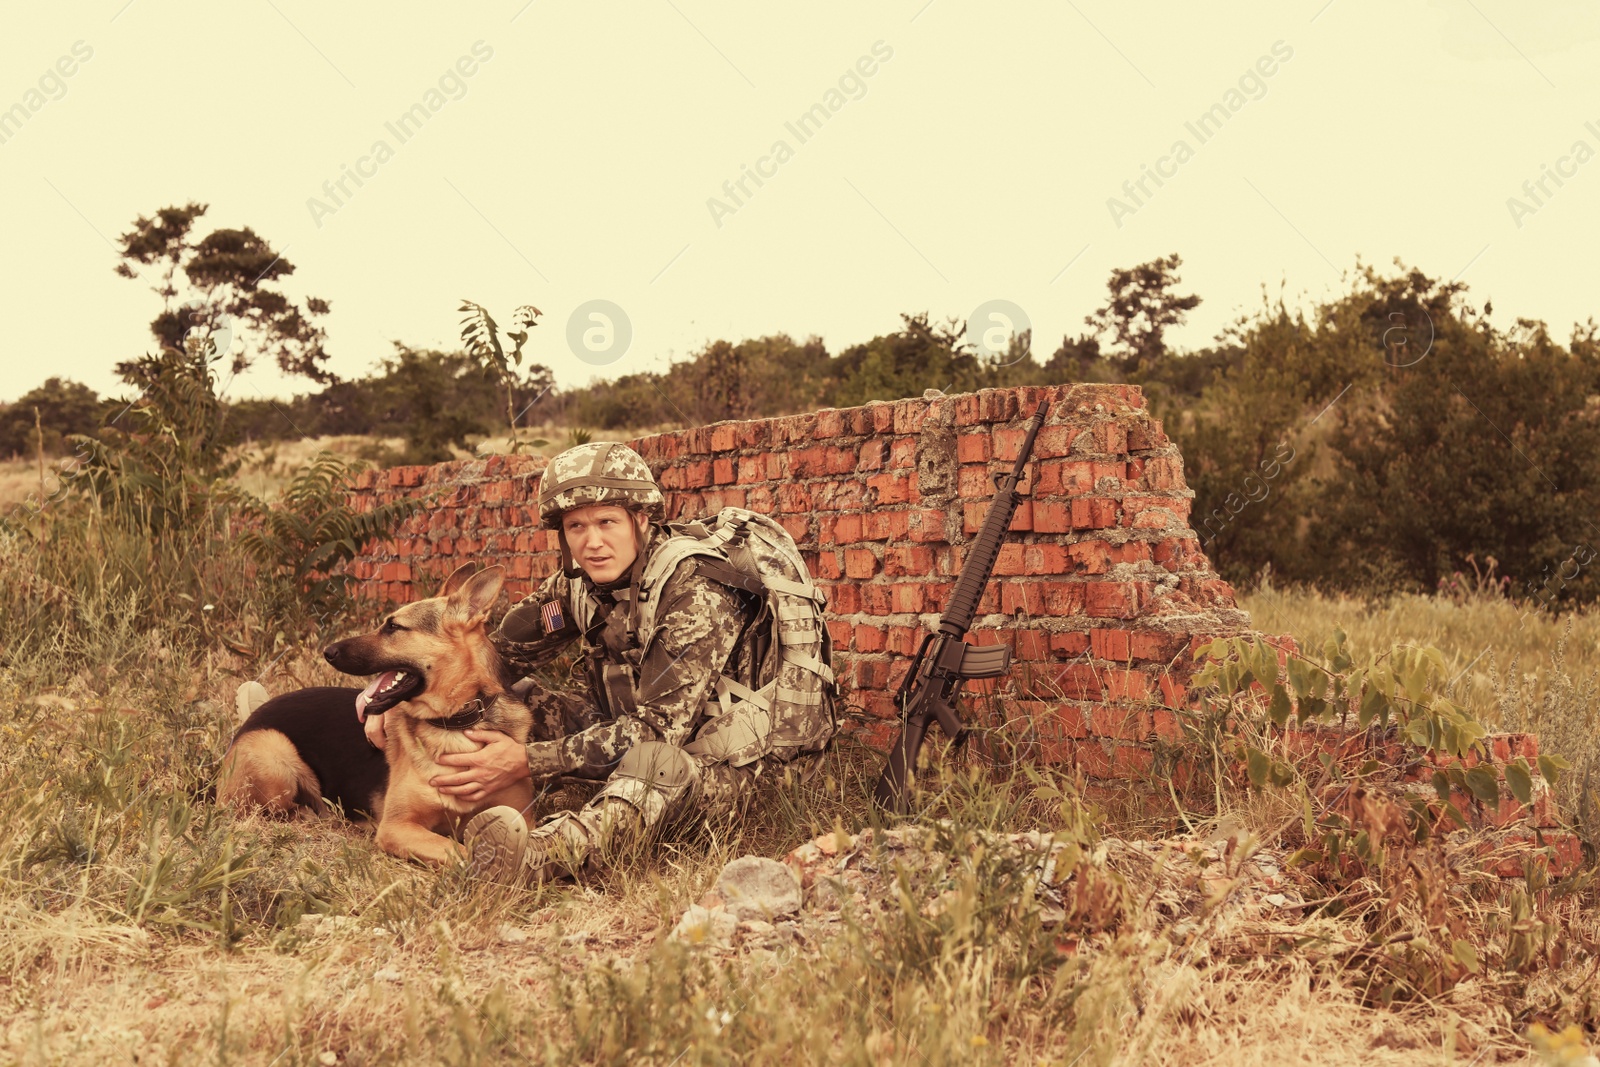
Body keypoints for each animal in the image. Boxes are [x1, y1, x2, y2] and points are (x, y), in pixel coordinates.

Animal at [212, 563, 534, 863]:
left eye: (393, 627)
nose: (328, 651)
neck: (454, 723)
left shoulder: (522, 817)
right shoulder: (397, 827)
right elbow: (459, 850)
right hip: (273, 751)